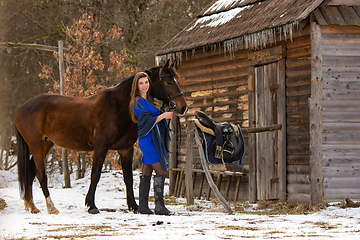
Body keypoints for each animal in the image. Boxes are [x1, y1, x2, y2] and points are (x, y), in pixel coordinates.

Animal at [15, 60, 187, 214]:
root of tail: (21, 108)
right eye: (169, 82)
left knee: (31, 172)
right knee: (41, 174)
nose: (183, 107)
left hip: (45, 144)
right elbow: (95, 175)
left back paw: (32, 206)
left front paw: (134, 206)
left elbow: (128, 178)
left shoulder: (125, 149)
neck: (119, 107)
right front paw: (91, 205)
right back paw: (51, 208)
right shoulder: (101, 148)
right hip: (36, 145)